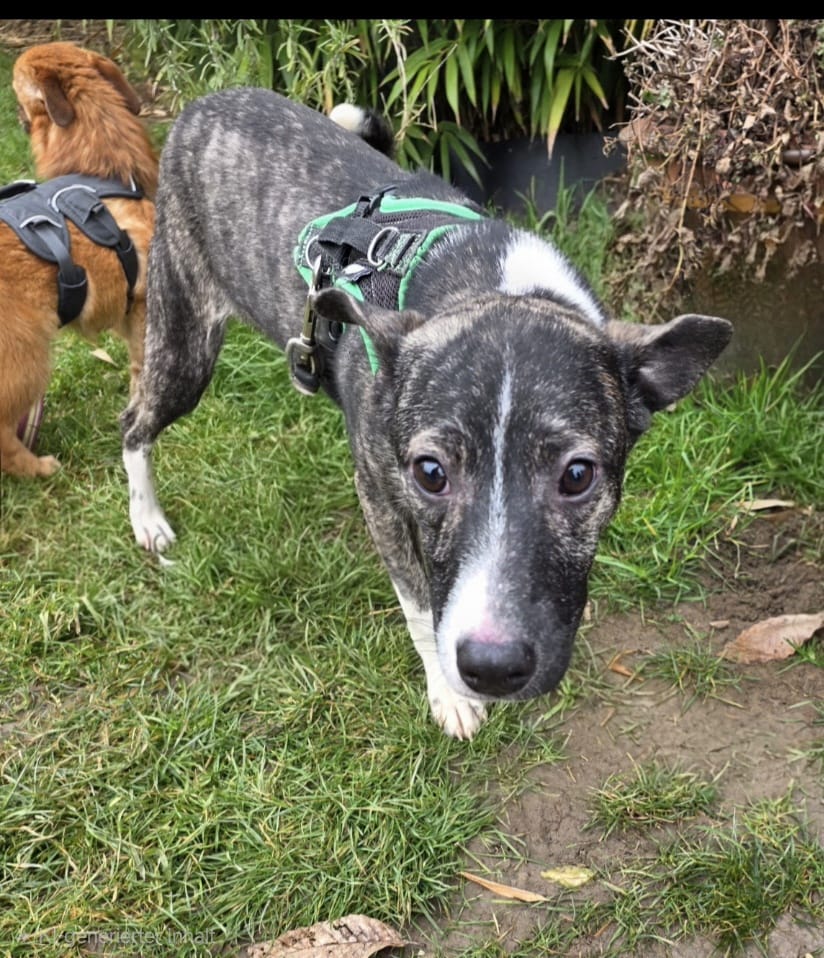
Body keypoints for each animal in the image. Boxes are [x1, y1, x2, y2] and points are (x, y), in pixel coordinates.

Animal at [120, 88, 732, 740]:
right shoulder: (380, 496)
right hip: (185, 348)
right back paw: (147, 519)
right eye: (430, 473)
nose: (492, 666)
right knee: (133, 422)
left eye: (577, 475)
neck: (492, 285)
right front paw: (448, 694)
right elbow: (418, 605)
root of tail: (208, 101)